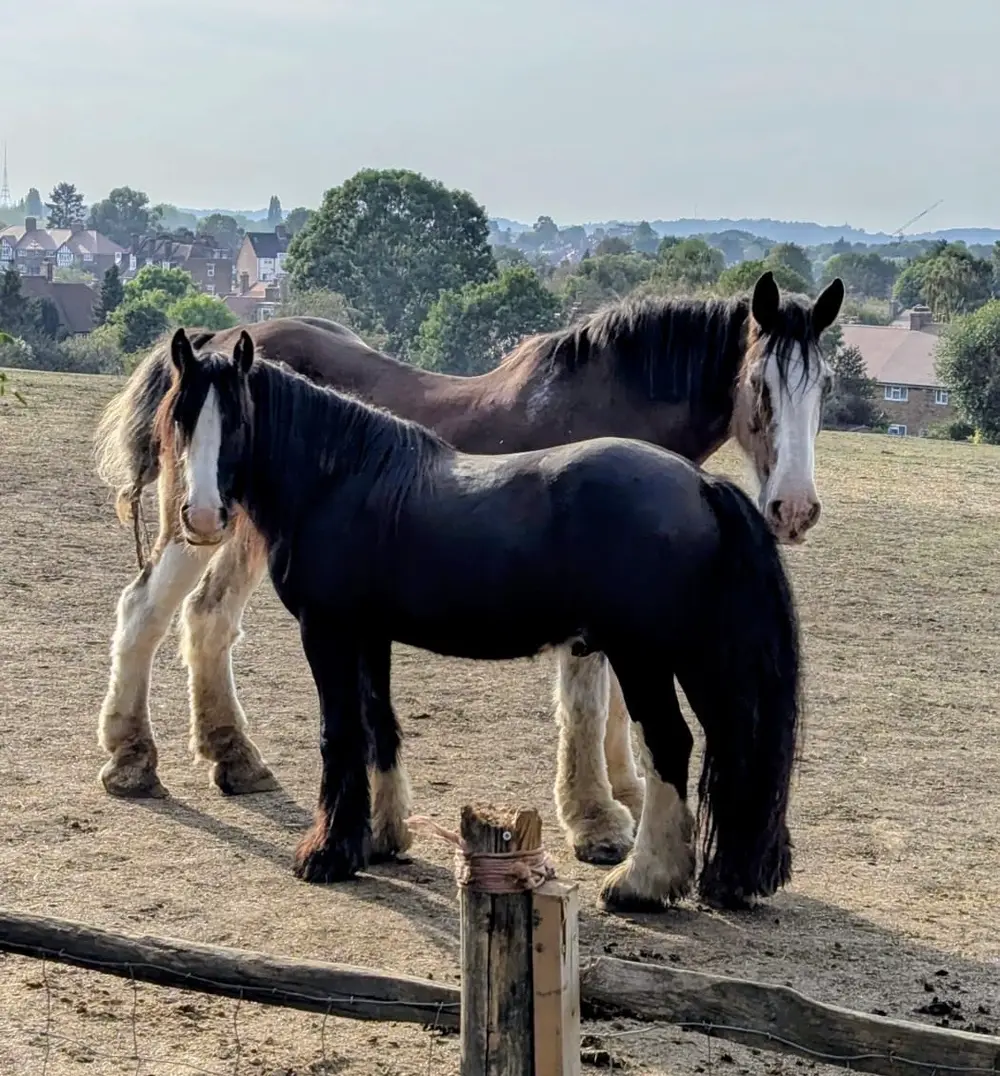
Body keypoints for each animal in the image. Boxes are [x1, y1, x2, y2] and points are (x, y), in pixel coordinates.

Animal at [93, 271, 843, 869]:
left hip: (234, 532)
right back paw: (132, 757)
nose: (795, 509)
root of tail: (222, 334)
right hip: (199, 527)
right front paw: (596, 820)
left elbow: (609, 708)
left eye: (824, 392)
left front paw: (623, 795)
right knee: (145, 610)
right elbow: (586, 704)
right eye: (760, 386)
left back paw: (233, 756)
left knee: (208, 618)